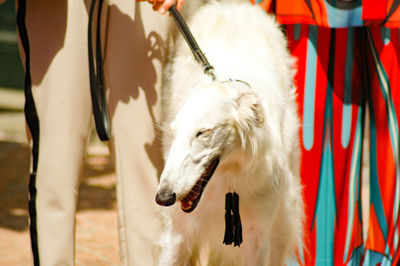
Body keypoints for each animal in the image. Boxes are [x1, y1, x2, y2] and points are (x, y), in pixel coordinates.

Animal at [155, 1, 304, 264]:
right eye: (174, 132)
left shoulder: (257, 236)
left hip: (284, 218)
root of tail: (232, 6)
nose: (164, 197)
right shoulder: (177, 233)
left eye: (203, 132)